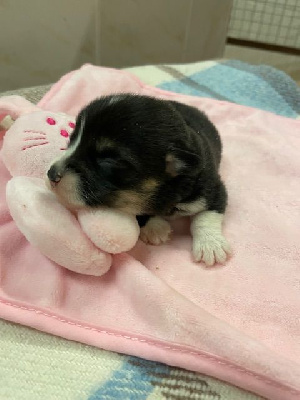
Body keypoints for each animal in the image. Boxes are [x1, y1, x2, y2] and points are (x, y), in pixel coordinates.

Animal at [47, 94, 231, 266]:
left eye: (108, 160)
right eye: (71, 141)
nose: (51, 174)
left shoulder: (212, 189)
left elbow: (207, 215)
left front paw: (211, 245)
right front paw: (155, 228)